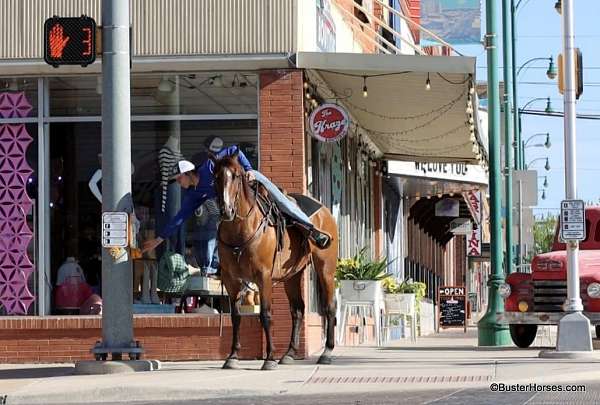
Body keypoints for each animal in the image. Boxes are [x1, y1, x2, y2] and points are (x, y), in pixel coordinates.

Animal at [214, 152, 338, 370]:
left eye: (236, 176)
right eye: (215, 177)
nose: (226, 210)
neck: (241, 230)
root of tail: (324, 211)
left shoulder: (263, 276)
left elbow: (265, 314)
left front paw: (269, 358)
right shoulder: (231, 280)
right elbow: (236, 317)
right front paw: (232, 356)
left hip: (326, 269)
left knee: (329, 306)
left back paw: (327, 352)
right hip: (292, 276)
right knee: (298, 310)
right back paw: (289, 353)